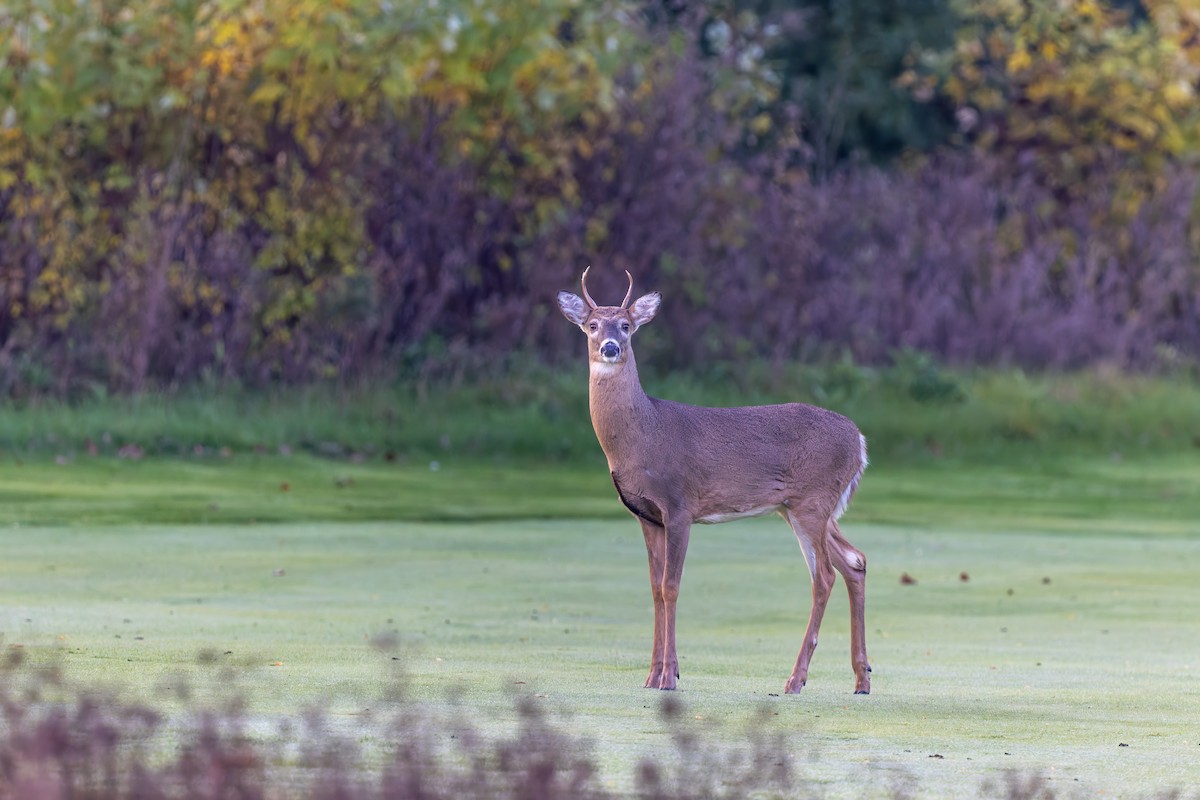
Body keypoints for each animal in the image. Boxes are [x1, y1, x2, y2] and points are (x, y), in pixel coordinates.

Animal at [557, 268, 871, 694]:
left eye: (626, 325)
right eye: (591, 325)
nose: (609, 347)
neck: (643, 435)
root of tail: (859, 440)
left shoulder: (679, 505)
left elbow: (671, 587)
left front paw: (669, 677)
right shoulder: (646, 515)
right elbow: (654, 589)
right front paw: (651, 676)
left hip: (813, 500)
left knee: (824, 576)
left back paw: (796, 679)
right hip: (799, 508)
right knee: (855, 561)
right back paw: (861, 679)